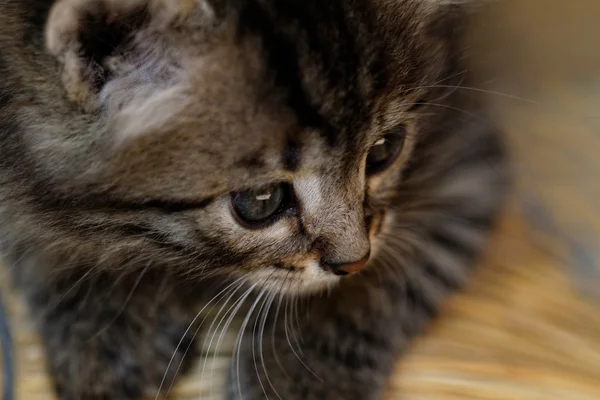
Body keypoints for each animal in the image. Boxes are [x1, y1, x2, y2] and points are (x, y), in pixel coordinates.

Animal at [0, 0, 508, 398]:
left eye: (386, 149)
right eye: (261, 200)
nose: (352, 261)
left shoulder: (465, 158)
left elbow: (377, 274)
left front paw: (298, 380)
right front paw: (106, 323)